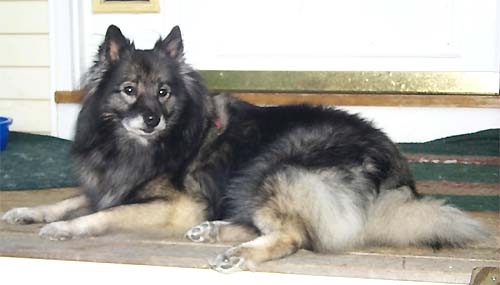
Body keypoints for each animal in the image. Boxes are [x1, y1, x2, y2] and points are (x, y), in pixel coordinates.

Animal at [1, 25, 486, 272]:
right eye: (129, 89)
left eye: (163, 92)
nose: (152, 119)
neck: (137, 144)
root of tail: (396, 176)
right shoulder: (112, 186)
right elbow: (69, 199)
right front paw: (27, 212)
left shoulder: (176, 205)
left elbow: (102, 215)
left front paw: (65, 230)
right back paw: (215, 232)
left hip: (273, 168)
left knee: (294, 236)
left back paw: (239, 253)